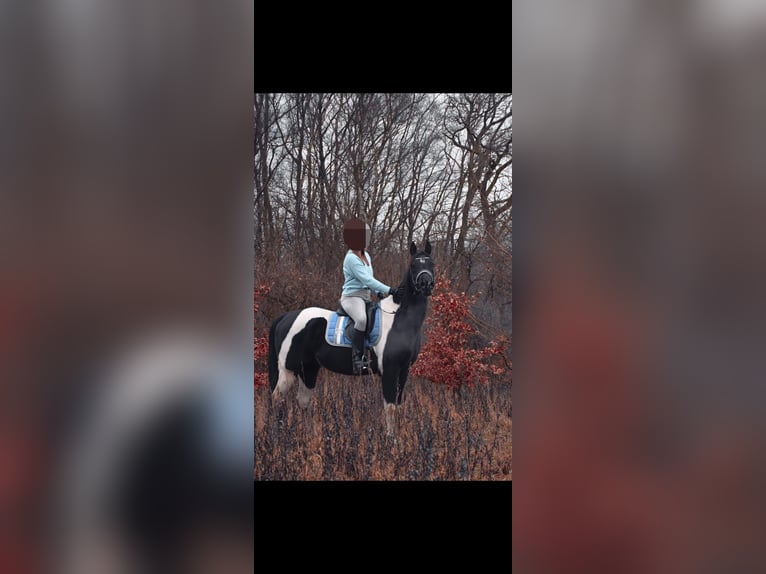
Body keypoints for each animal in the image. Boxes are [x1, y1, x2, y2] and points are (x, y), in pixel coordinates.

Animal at [268, 241, 436, 434]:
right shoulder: (389, 369)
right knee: (277, 398)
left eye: (432, 263)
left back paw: (311, 435)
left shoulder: (403, 369)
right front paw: (391, 438)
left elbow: (399, 406)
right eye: (413, 264)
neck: (398, 319)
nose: (426, 284)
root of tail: (285, 317)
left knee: (302, 400)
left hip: (308, 368)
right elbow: (390, 407)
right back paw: (278, 433)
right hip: (288, 370)